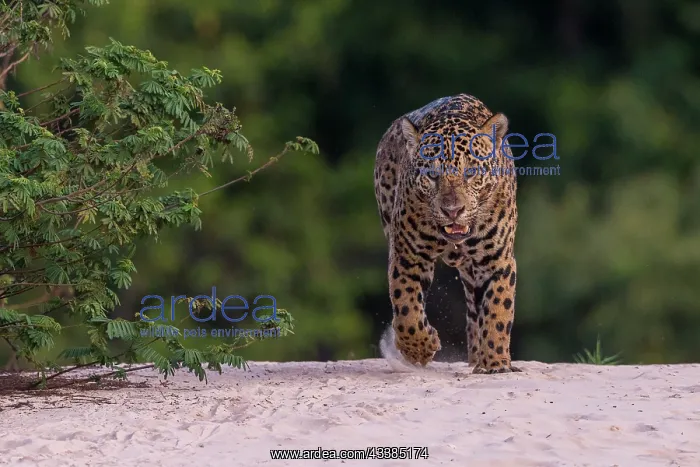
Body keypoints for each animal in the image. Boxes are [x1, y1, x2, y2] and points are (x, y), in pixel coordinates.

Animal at [374, 93, 521, 374]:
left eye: (471, 173)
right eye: (432, 175)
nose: (453, 210)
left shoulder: (496, 261)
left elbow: (498, 310)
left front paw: (495, 363)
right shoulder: (408, 257)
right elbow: (407, 308)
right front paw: (421, 347)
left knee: (476, 312)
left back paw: (479, 358)